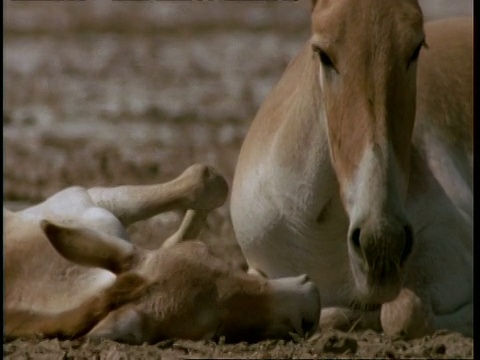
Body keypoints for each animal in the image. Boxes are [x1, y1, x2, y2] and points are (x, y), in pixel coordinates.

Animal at [4, 163, 318, 344]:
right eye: (215, 329)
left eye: (210, 255)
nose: (310, 303)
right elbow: (201, 183)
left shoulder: (90, 204)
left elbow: (203, 183)